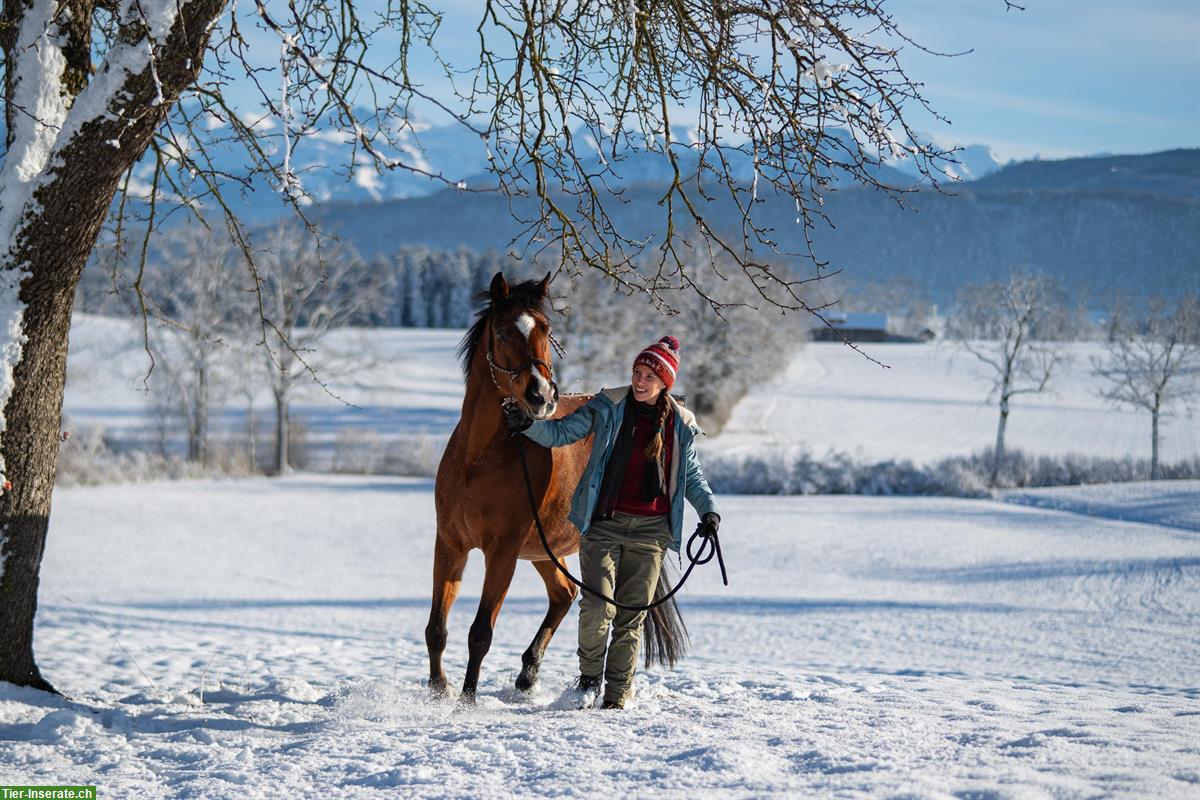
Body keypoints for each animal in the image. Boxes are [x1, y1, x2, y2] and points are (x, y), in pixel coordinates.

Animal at [427, 273, 590, 700]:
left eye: (546, 329)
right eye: (501, 331)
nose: (542, 396)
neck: (479, 460)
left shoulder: (502, 553)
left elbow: (480, 634)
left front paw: (466, 701)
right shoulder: (450, 545)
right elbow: (437, 629)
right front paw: (438, 689)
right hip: (544, 551)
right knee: (564, 594)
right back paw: (528, 674)